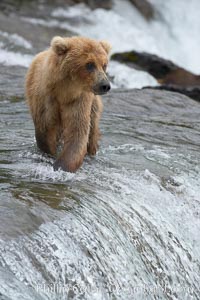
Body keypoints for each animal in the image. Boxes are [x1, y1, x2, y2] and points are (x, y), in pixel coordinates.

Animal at [25, 37, 111, 173]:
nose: (105, 85)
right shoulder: (45, 97)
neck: (64, 91)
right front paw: (51, 156)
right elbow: (45, 129)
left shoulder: (79, 100)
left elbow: (77, 132)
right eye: (90, 64)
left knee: (92, 130)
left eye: (104, 65)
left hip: (94, 104)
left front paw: (61, 166)